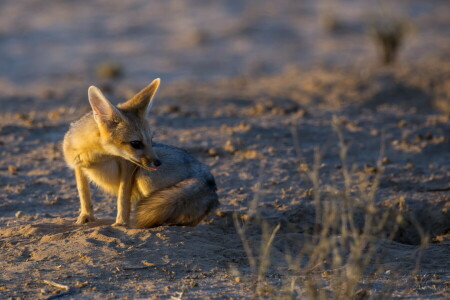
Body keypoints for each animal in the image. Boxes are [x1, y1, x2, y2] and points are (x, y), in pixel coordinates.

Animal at [62, 78, 220, 229]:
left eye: (151, 139)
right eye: (136, 143)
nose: (158, 163)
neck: (96, 158)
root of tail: (204, 171)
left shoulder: (128, 167)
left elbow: (123, 198)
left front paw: (121, 222)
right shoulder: (78, 167)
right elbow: (84, 194)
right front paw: (85, 217)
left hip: (145, 177)